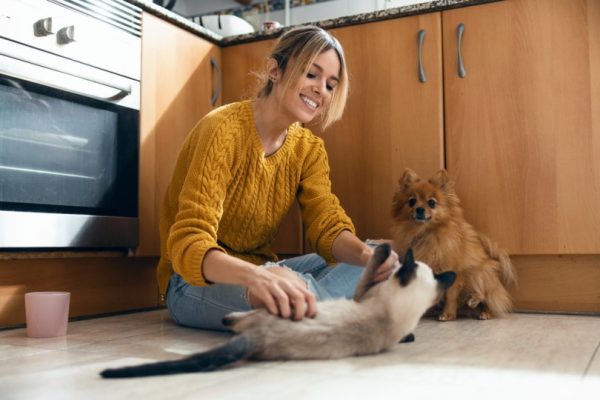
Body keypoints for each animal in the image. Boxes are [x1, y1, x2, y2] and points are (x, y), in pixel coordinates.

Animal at [101, 244, 454, 378]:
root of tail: (258, 339)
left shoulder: (362, 292)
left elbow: (371, 266)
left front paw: (384, 252)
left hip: (256, 316)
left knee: (230, 321)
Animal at [390, 169, 516, 322]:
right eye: (412, 201)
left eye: (431, 203)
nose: (419, 209)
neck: (425, 233)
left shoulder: (453, 272)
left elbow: (450, 296)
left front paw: (448, 314)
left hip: (479, 272)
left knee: (488, 297)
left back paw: (482, 308)